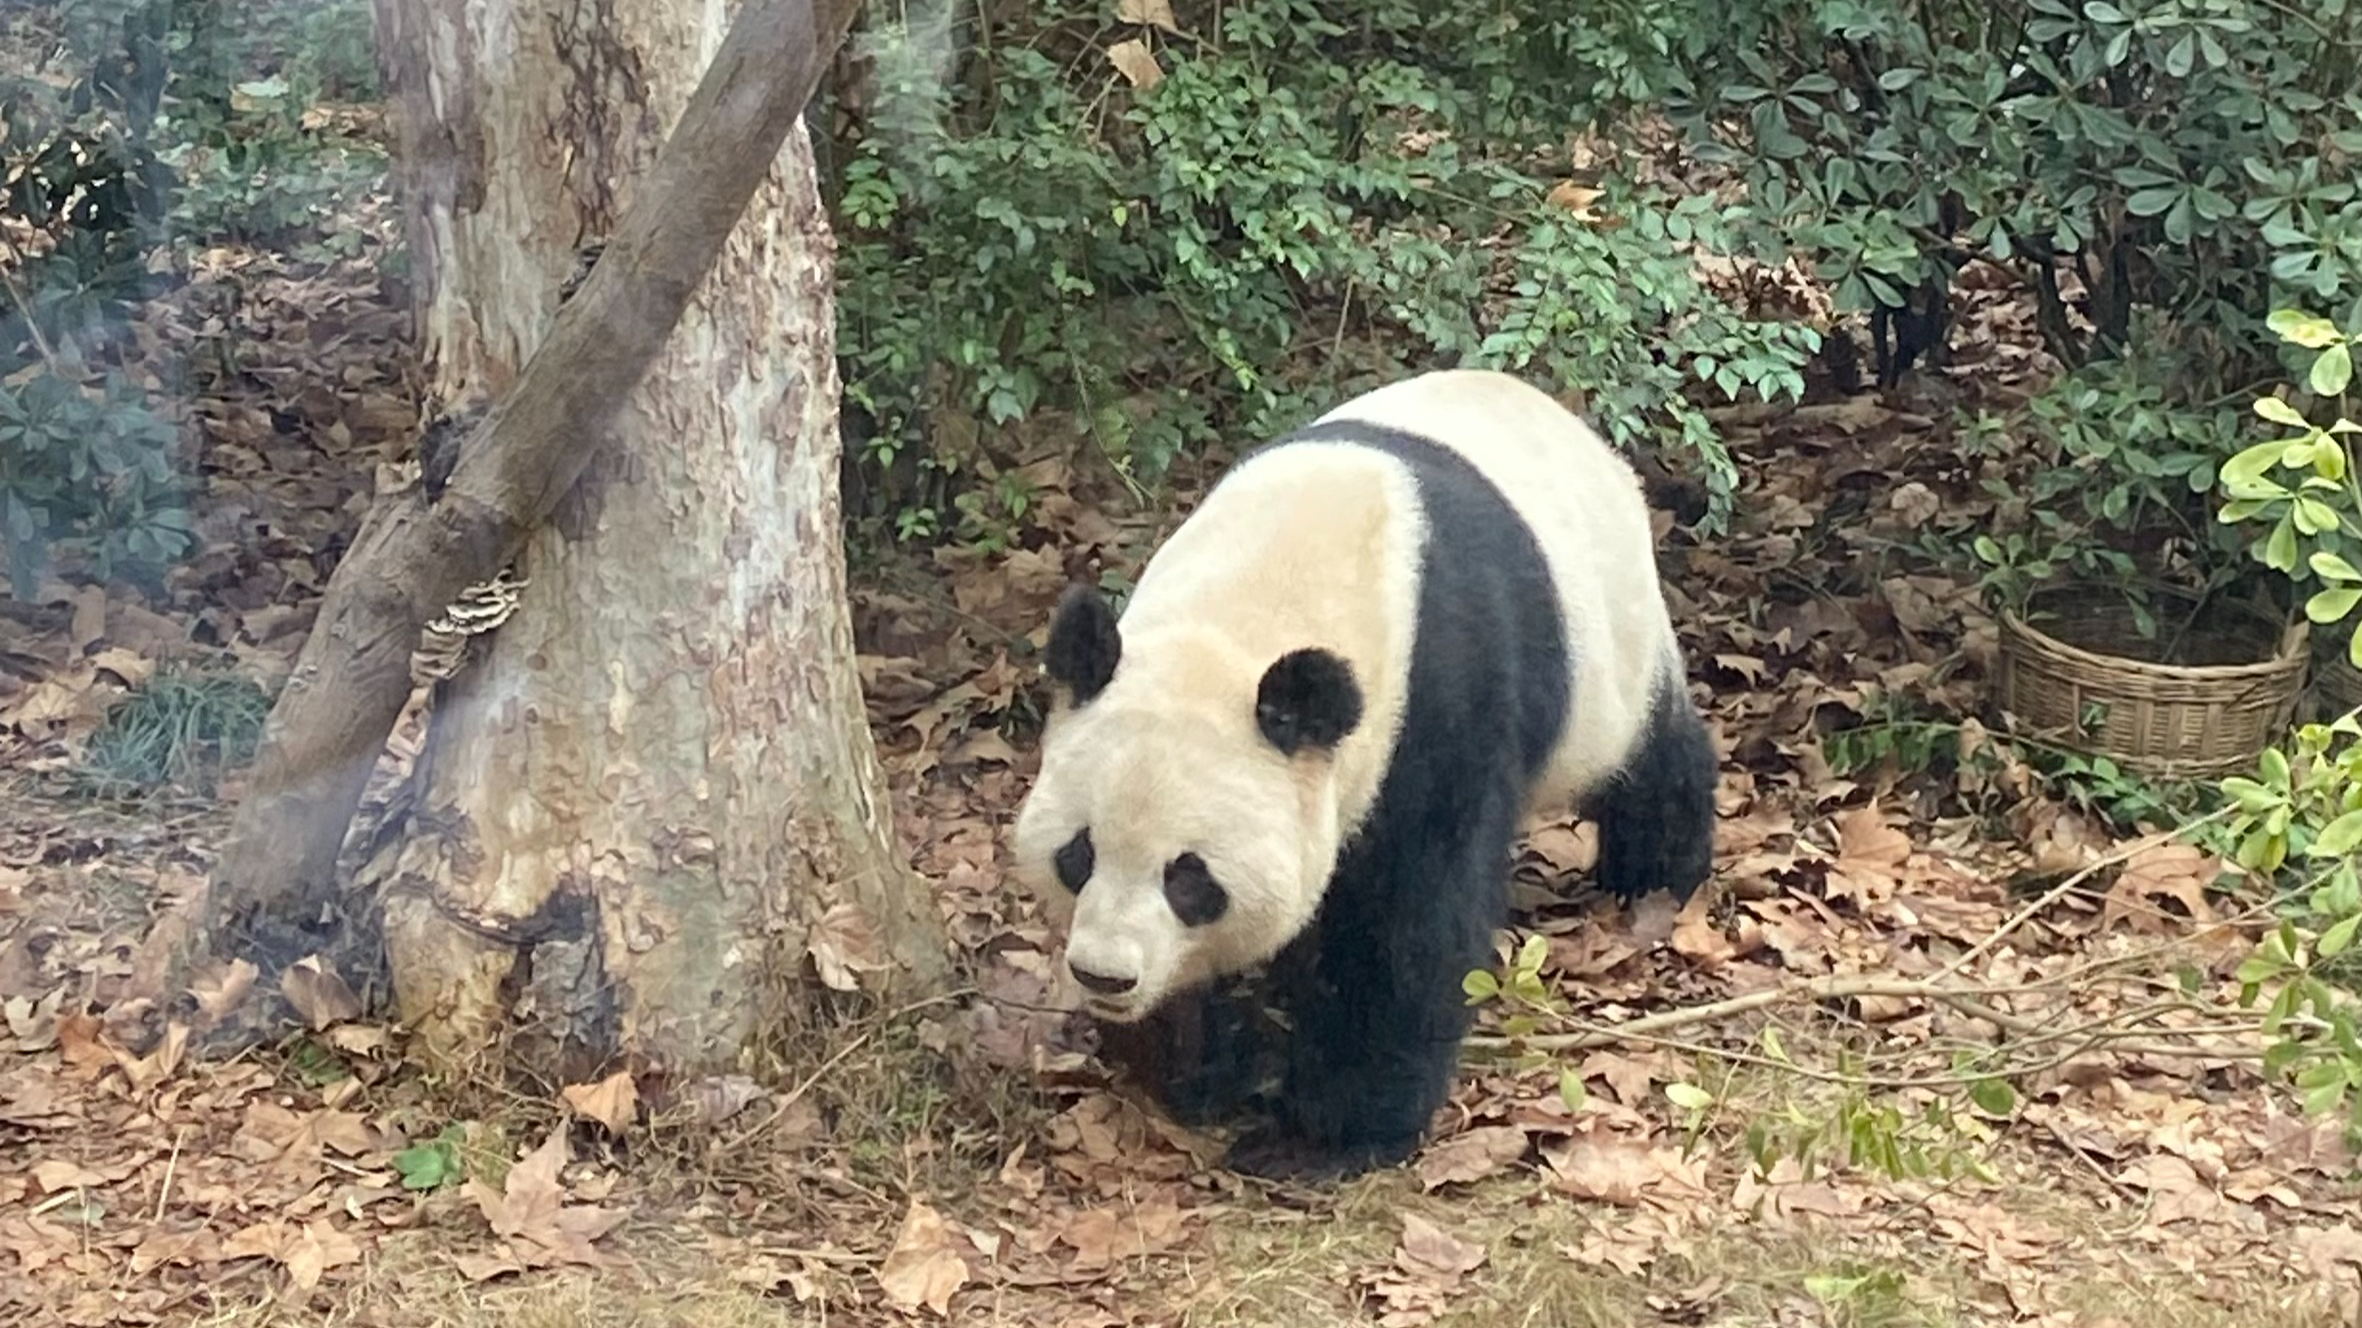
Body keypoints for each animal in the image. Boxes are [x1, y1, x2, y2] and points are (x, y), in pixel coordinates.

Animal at [1010, 368, 1718, 1181]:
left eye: (1189, 878)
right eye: (1078, 853)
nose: (1105, 975)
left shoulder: (1433, 704)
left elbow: (1406, 924)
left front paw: (1318, 1136)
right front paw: (1203, 1065)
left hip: (1606, 640)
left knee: (1646, 757)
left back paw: (1655, 873)